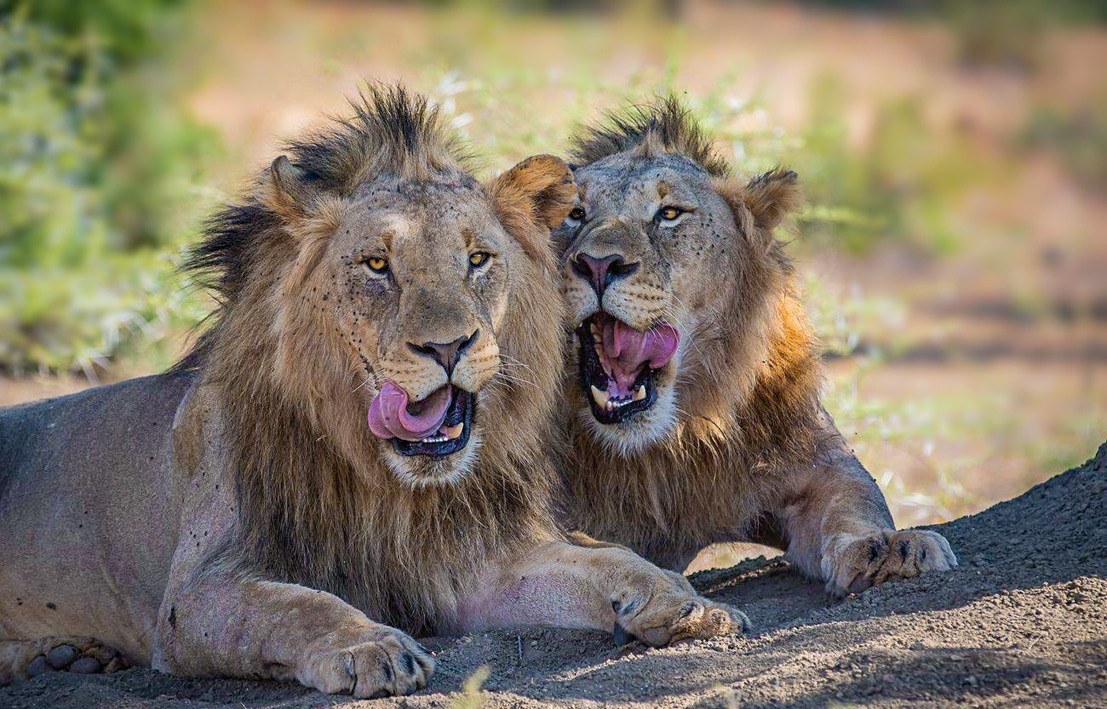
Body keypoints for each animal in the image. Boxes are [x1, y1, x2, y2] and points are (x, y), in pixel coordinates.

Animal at [0, 87, 746, 697]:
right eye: (378, 265)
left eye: (478, 259)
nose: (446, 347)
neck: (387, 485)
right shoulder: (196, 590)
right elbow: (298, 605)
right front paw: (370, 648)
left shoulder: (468, 567)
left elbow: (605, 559)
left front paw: (684, 601)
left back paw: (65, 656)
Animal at [553, 96, 957, 595]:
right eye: (575, 214)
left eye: (670, 213)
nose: (597, 264)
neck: (666, 440)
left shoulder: (816, 466)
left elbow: (855, 503)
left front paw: (889, 549)